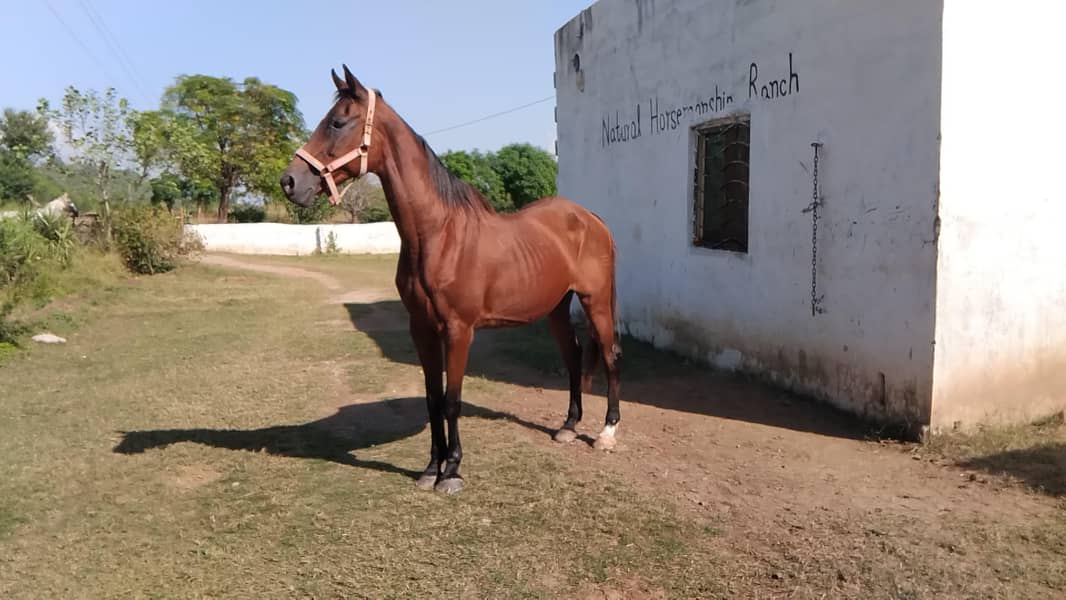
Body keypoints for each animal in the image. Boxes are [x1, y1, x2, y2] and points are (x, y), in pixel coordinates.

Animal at [280, 65, 621, 494]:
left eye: (338, 122)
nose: (289, 181)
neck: (439, 235)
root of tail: (590, 217)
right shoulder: (422, 328)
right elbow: (432, 398)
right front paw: (431, 468)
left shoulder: (459, 330)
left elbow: (452, 400)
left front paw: (452, 470)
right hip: (557, 308)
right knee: (574, 356)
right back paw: (568, 426)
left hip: (596, 302)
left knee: (608, 355)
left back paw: (607, 433)